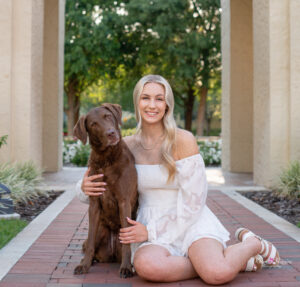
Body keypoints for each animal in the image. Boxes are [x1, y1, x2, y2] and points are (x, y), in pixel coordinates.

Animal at [72, 104, 138, 280]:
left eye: (107, 116)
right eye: (93, 124)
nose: (111, 133)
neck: (106, 159)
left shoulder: (124, 201)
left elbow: (128, 243)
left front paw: (126, 268)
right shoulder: (94, 203)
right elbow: (90, 239)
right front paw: (84, 265)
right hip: (100, 232)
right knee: (89, 245)